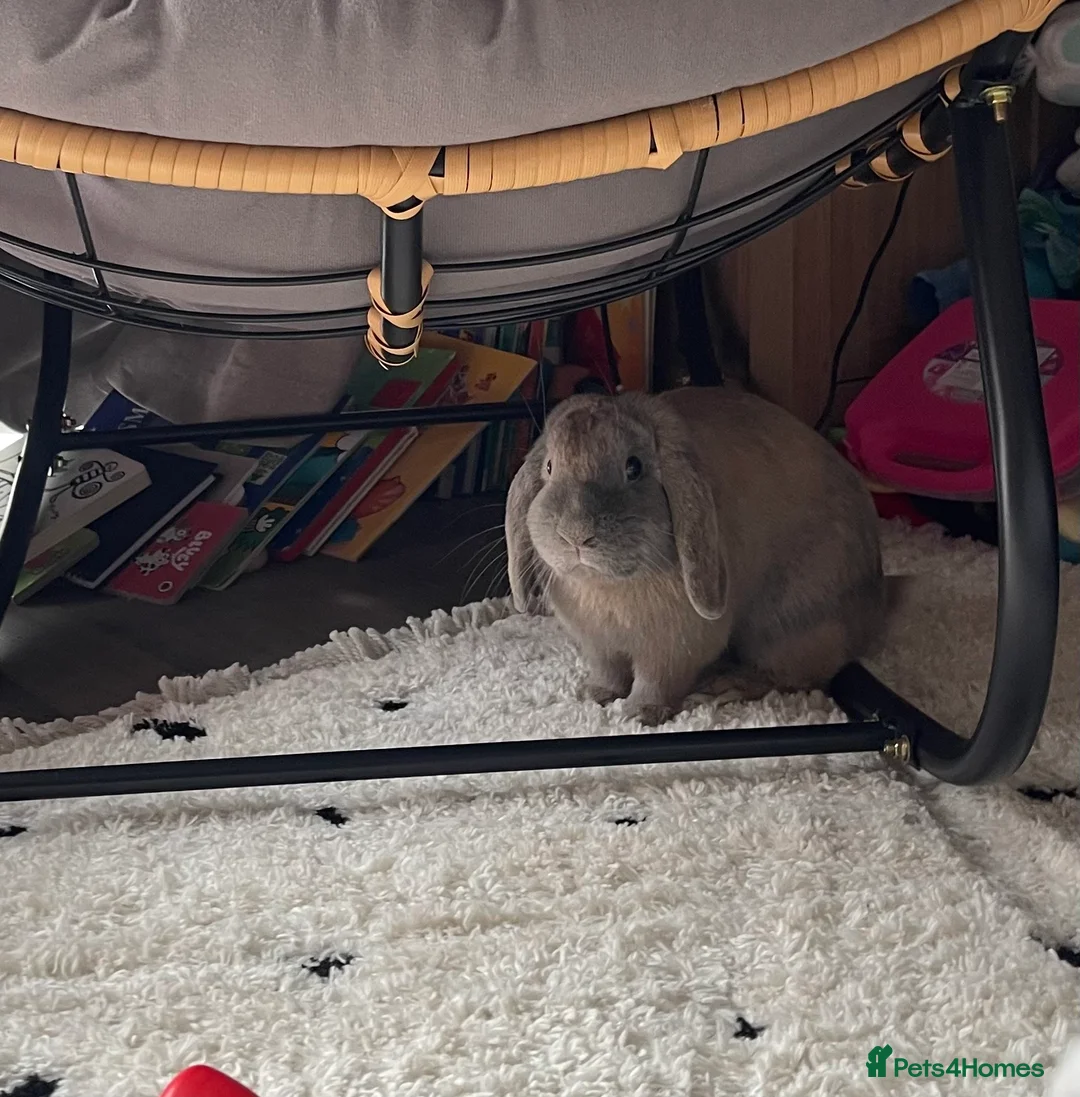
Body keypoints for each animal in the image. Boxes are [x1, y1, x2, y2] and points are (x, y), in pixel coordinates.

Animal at [505, 385, 885, 726]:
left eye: (634, 467)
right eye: (550, 468)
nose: (575, 534)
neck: (607, 585)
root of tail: (870, 611)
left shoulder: (673, 648)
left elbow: (656, 680)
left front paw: (640, 714)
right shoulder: (599, 645)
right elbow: (608, 672)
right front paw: (594, 694)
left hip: (789, 625)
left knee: (796, 675)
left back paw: (725, 687)